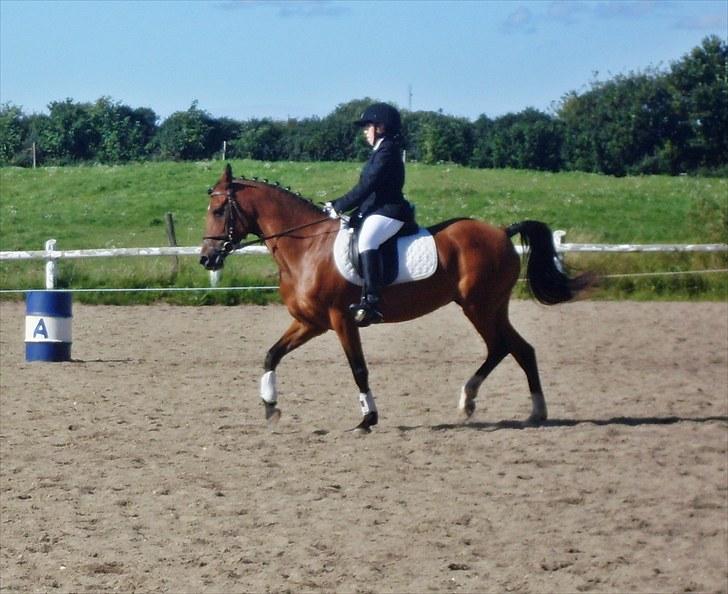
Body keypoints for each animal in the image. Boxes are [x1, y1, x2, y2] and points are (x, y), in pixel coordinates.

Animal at [200, 164, 592, 432]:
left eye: (219, 211)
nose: (206, 259)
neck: (307, 247)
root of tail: (500, 230)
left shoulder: (342, 319)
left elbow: (358, 368)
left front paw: (368, 418)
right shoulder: (311, 322)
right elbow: (272, 354)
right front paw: (270, 406)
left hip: (479, 306)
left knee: (502, 347)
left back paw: (478, 401)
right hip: (489, 307)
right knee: (517, 348)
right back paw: (525, 410)